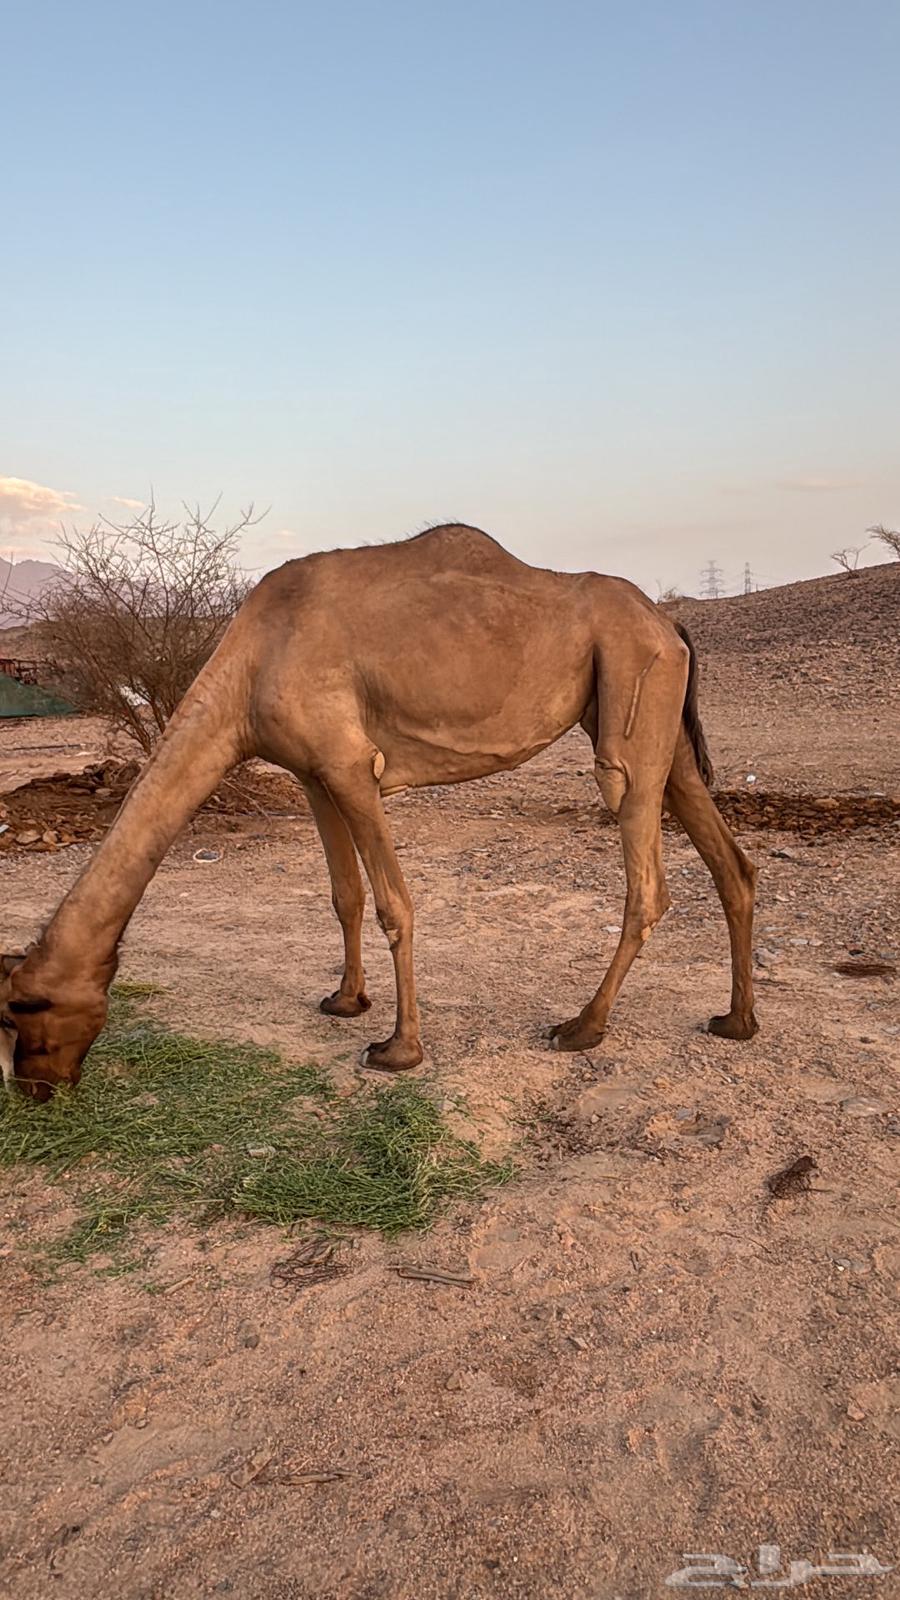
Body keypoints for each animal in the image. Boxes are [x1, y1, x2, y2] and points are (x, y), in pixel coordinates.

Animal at [0, 525, 758, 1099]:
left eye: (19, 1011)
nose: (35, 1089)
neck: (249, 668)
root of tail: (668, 621)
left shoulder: (349, 766)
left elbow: (396, 903)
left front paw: (398, 1048)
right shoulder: (311, 775)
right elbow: (345, 895)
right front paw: (345, 1000)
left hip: (630, 691)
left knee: (644, 867)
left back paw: (580, 1027)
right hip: (661, 724)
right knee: (732, 862)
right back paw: (736, 1019)